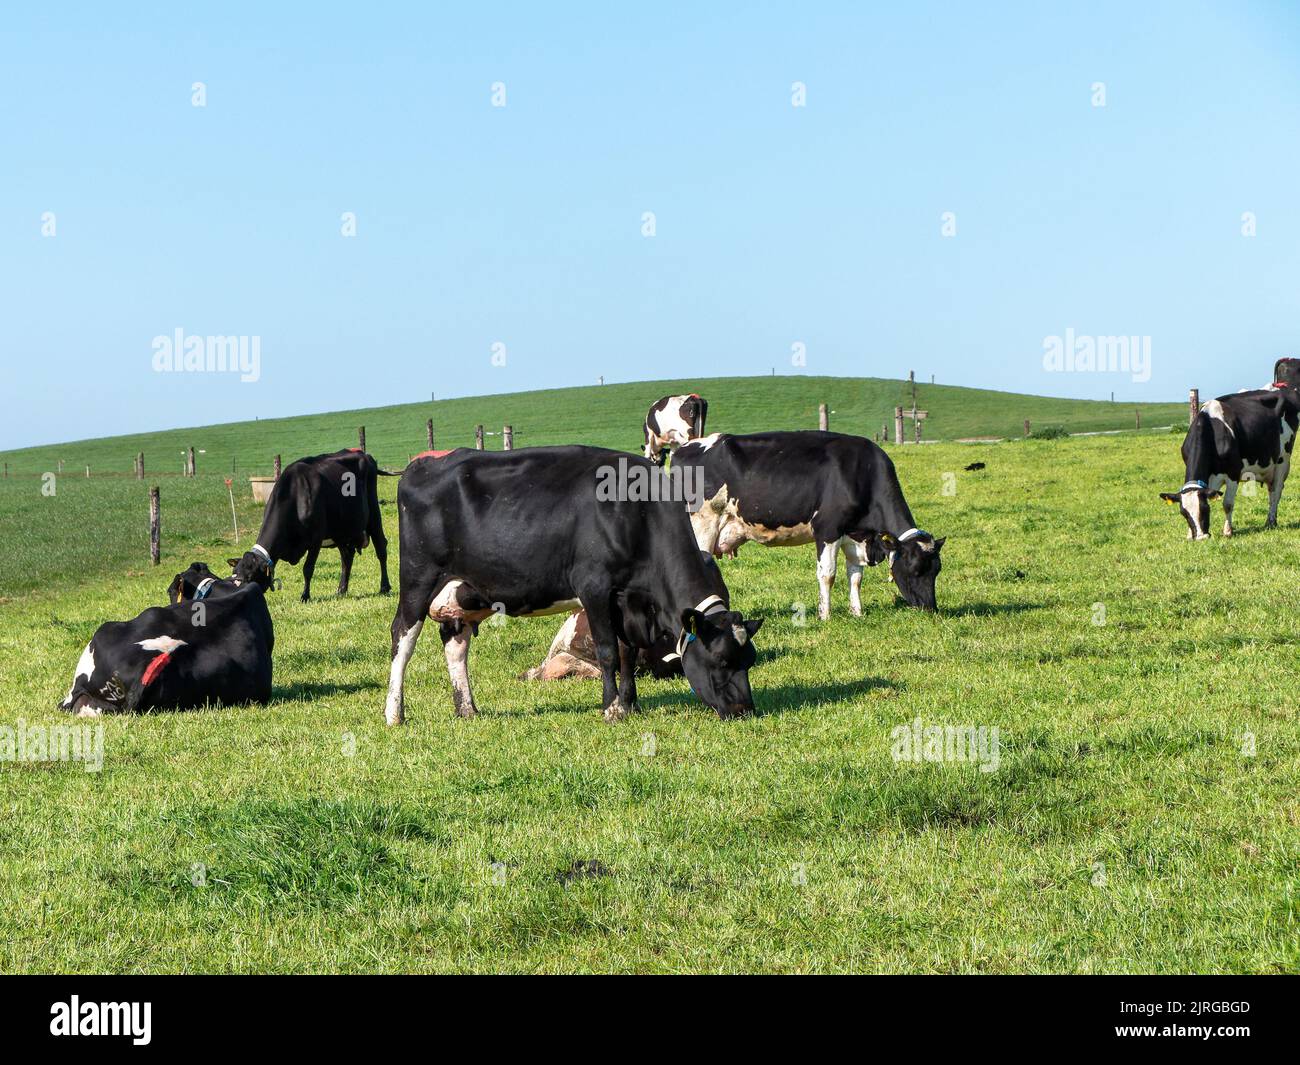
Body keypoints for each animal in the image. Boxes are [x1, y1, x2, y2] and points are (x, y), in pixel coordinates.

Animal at [229, 449, 392, 601]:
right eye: (234, 576)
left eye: (250, 578)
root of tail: (364, 454)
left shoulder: (316, 538)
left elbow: (307, 569)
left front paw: (305, 596)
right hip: (340, 529)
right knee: (347, 556)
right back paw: (341, 589)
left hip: (373, 512)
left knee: (381, 548)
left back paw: (384, 587)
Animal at [384, 446, 763, 724]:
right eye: (721, 660)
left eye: (749, 660)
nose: (744, 710)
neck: (637, 513)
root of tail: (425, 462)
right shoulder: (593, 588)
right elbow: (608, 651)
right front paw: (611, 708)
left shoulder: (626, 600)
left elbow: (627, 652)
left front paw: (631, 704)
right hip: (418, 579)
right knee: (402, 637)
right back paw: (394, 713)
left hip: (462, 593)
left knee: (455, 644)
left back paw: (467, 709)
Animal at [673, 430, 945, 617]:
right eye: (915, 569)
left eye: (936, 571)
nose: (930, 609)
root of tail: (683, 449)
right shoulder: (827, 529)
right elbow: (828, 574)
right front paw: (825, 615)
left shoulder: (855, 535)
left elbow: (855, 576)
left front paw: (857, 612)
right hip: (703, 523)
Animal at [1160, 389, 1300, 539]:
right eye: (1183, 513)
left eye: (1205, 508)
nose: (1201, 538)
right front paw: (1190, 534)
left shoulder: (1233, 473)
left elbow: (1227, 504)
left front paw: (1227, 531)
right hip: (1268, 467)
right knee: (1271, 490)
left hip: (1282, 460)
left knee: (1276, 492)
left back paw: (1271, 522)